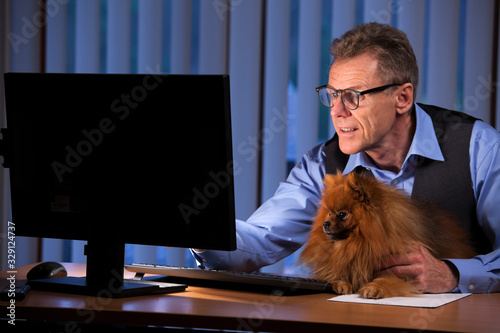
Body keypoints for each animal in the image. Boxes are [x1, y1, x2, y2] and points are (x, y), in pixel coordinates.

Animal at [300, 172, 476, 296]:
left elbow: (387, 279)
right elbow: (338, 274)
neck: (359, 242)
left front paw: (374, 287)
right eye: (328, 213)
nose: (325, 223)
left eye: (342, 215)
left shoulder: (403, 269)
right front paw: (341, 283)